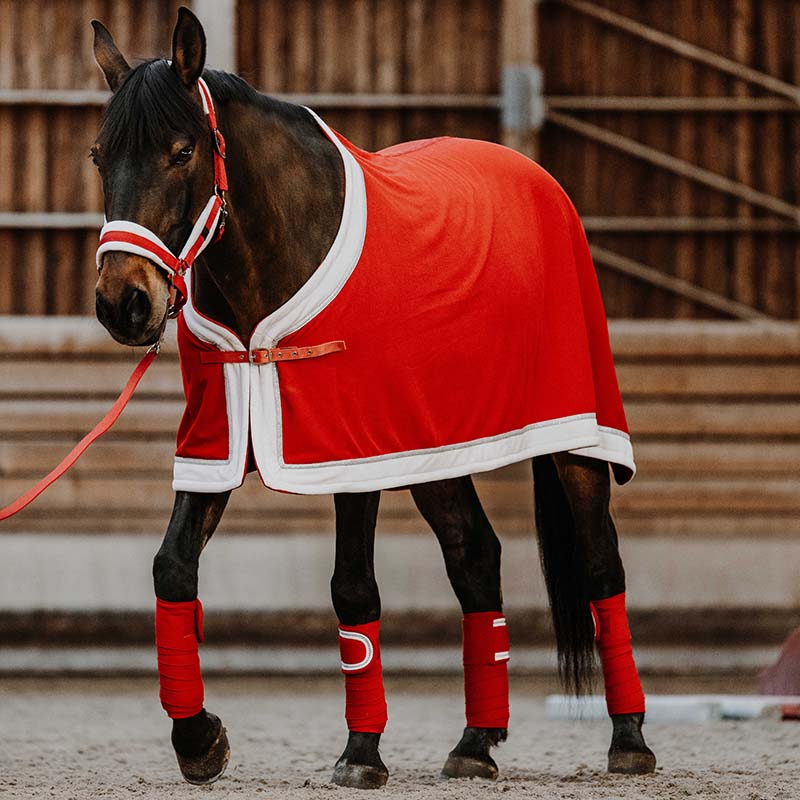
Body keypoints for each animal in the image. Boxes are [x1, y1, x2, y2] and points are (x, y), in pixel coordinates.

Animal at [90, 7, 656, 788]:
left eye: (181, 152)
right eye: (98, 157)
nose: (124, 303)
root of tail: (537, 178)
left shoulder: (347, 448)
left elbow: (352, 586)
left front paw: (360, 753)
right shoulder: (218, 439)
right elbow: (173, 569)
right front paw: (198, 739)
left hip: (574, 437)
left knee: (602, 562)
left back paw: (628, 740)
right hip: (435, 448)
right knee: (475, 556)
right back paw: (475, 742)